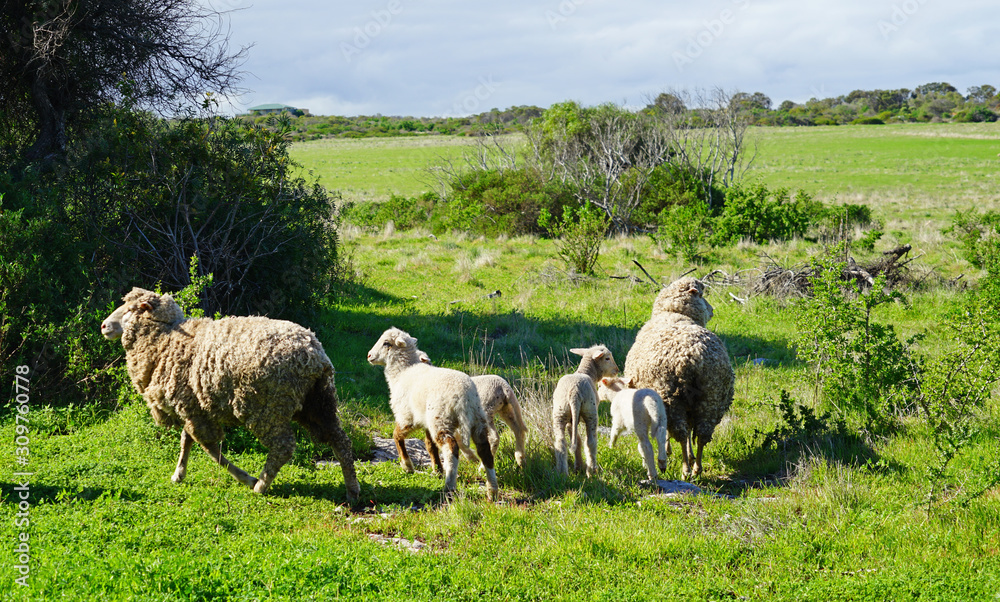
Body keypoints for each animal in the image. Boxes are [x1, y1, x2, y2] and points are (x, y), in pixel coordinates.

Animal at [101, 288, 361, 501]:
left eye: (130, 310)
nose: (104, 326)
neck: (167, 339)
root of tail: (314, 354)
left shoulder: (191, 408)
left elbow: (209, 447)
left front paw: (245, 478)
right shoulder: (193, 405)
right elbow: (187, 440)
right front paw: (179, 473)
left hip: (268, 406)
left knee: (284, 446)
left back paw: (261, 485)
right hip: (318, 402)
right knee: (340, 440)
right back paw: (352, 490)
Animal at [366, 328, 499, 500]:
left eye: (386, 343)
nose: (369, 355)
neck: (403, 371)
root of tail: (465, 396)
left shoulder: (407, 416)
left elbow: (397, 436)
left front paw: (407, 465)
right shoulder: (425, 421)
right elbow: (430, 445)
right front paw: (437, 469)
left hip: (442, 419)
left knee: (451, 449)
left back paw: (449, 485)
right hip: (476, 419)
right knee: (485, 450)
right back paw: (492, 490)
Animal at [551, 345, 619, 477]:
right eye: (607, 358)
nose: (617, 370)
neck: (586, 372)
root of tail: (574, 392)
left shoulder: (571, 421)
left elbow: (577, 441)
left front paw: (578, 467)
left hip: (560, 413)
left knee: (561, 442)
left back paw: (562, 473)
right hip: (591, 413)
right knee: (590, 442)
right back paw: (592, 471)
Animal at [623, 276, 734, 478]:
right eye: (701, 295)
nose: (712, 310)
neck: (674, 313)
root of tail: (693, 356)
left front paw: (667, 452)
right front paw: (688, 455)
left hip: (670, 397)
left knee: (681, 433)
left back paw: (685, 470)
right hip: (711, 397)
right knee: (702, 434)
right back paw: (696, 467)